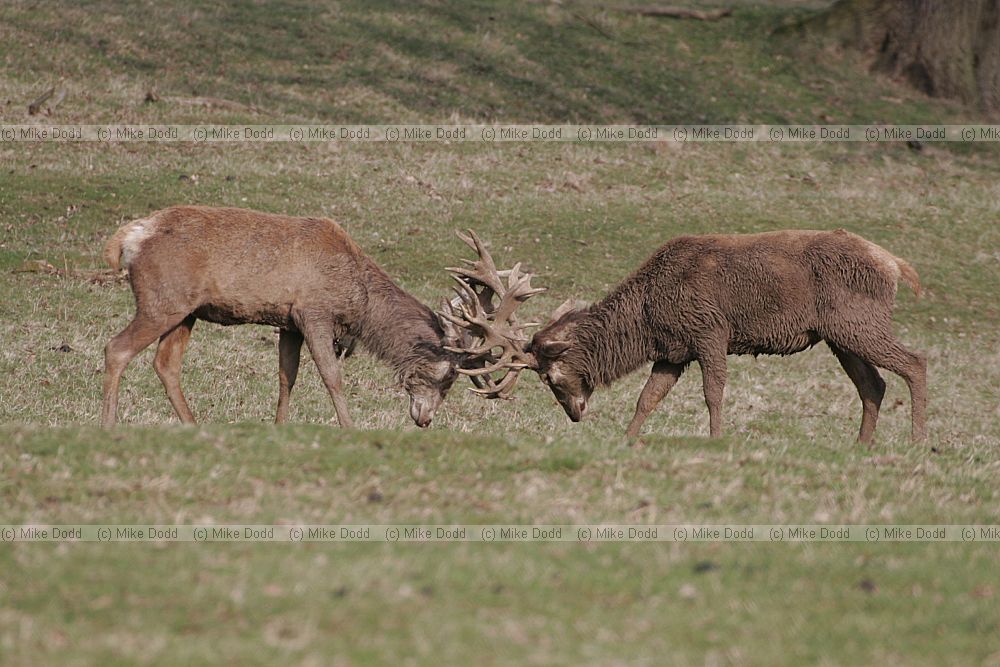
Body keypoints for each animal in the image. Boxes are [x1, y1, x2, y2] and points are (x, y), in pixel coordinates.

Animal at [100, 207, 539, 429]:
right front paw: (349, 428)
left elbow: (286, 376)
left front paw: (279, 426)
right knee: (116, 348)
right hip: (162, 299)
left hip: (185, 311)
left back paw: (193, 425)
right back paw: (108, 425)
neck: (360, 302)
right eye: (448, 376)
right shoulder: (312, 312)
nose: (425, 419)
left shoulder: (287, 322)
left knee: (166, 364)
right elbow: (332, 376)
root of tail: (127, 238)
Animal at [448, 229, 928, 443]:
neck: (645, 319)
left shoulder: (709, 330)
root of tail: (895, 265)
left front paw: (717, 439)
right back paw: (862, 447)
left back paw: (918, 442)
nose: (575, 414)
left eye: (549, 376)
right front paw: (627, 440)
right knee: (874, 384)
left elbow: (713, 392)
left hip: (857, 321)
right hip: (840, 335)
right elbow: (647, 398)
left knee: (915, 362)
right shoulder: (672, 351)